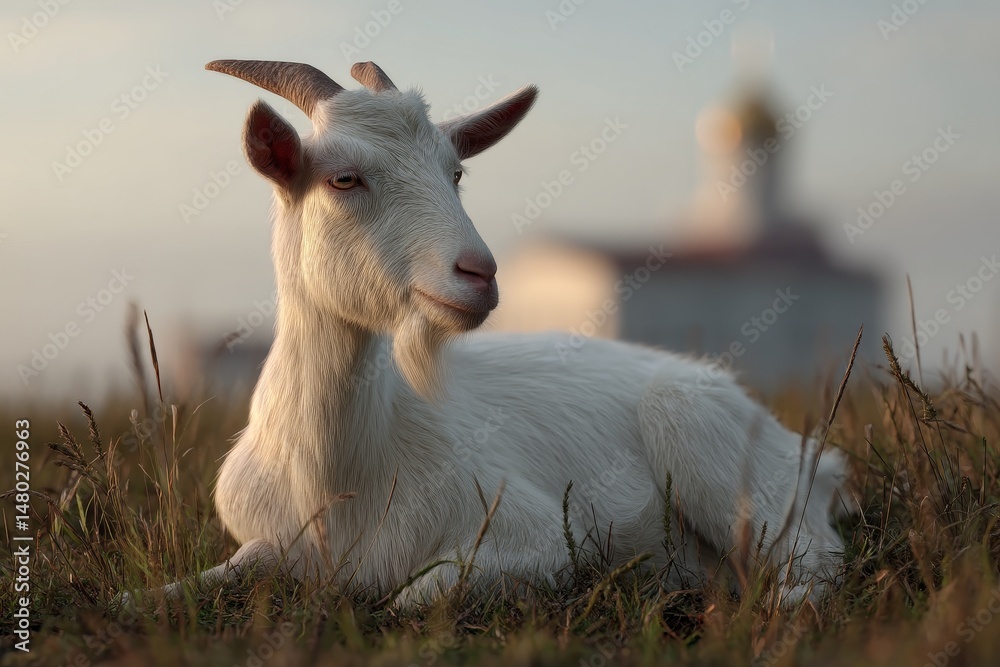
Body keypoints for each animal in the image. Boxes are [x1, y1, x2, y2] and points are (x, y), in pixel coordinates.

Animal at [156, 59, 850, 608]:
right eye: (343, 177)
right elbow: (217, 575)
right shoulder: (266, 541)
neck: (337, 483)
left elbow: (413, 597)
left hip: (714, 448)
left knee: (814, 560)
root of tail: (813, 455)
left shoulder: (535, 536)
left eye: (456, 172)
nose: (479, 272)